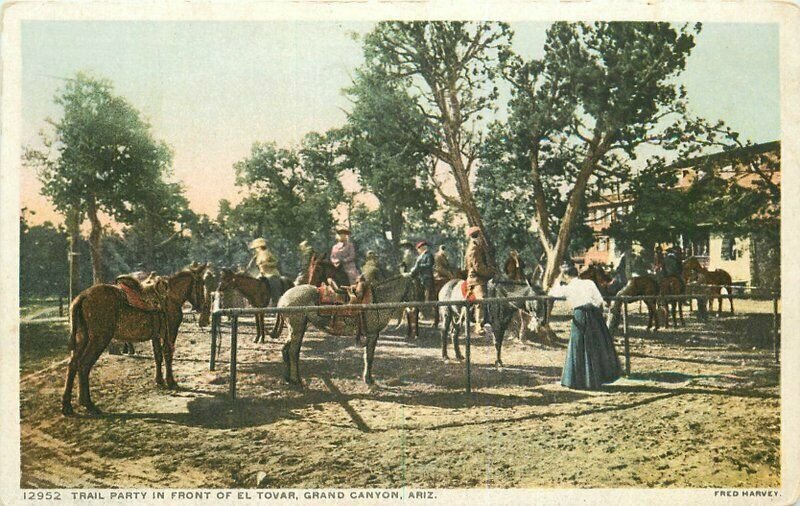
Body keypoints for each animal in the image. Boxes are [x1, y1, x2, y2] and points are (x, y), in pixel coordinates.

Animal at [63, 264, 206, 416]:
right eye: (201, 283)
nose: (202, 306)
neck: (171, 296)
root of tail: (82, 297)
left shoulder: (156, 336)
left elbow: (158, 356)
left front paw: (159, 380)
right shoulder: (171, 332)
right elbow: (168, 354)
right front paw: (171, 381)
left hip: (82, 339)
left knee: (72, 365)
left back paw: (67, 406)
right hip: (99, 339)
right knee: (84, 365)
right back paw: (88, 404)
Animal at [276, 274, 416, 386]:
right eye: (416, 286)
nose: (416, 308)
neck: (378, 300)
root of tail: (282, 298)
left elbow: (366, 356)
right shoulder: (373, 335)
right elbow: (369, 357)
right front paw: (369, 380)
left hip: (295, 330)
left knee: (285, 350)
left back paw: (288, 378)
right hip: (298, 329)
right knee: (293, 352)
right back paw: (296, 380)